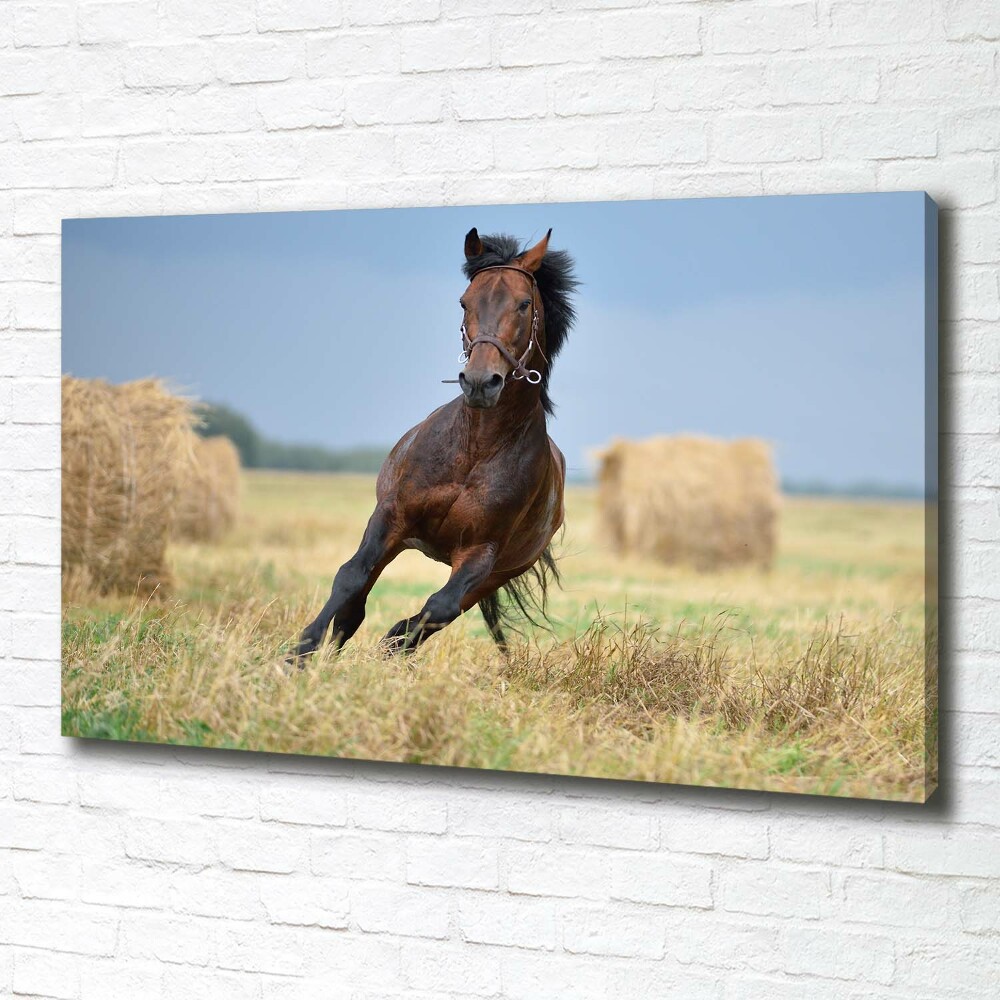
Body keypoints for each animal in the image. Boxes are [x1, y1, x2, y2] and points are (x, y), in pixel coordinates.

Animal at [292, 229, 580, 660]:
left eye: (524, 303)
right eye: (465, 301)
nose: (480, 382)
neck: (475, 449)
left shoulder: (481, 551)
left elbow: (437, 608)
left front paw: (386, 649)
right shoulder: (391, 517)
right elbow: (351, 578)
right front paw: (299, 654)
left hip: (499, 573)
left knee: (440, 612)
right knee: (358, 604)